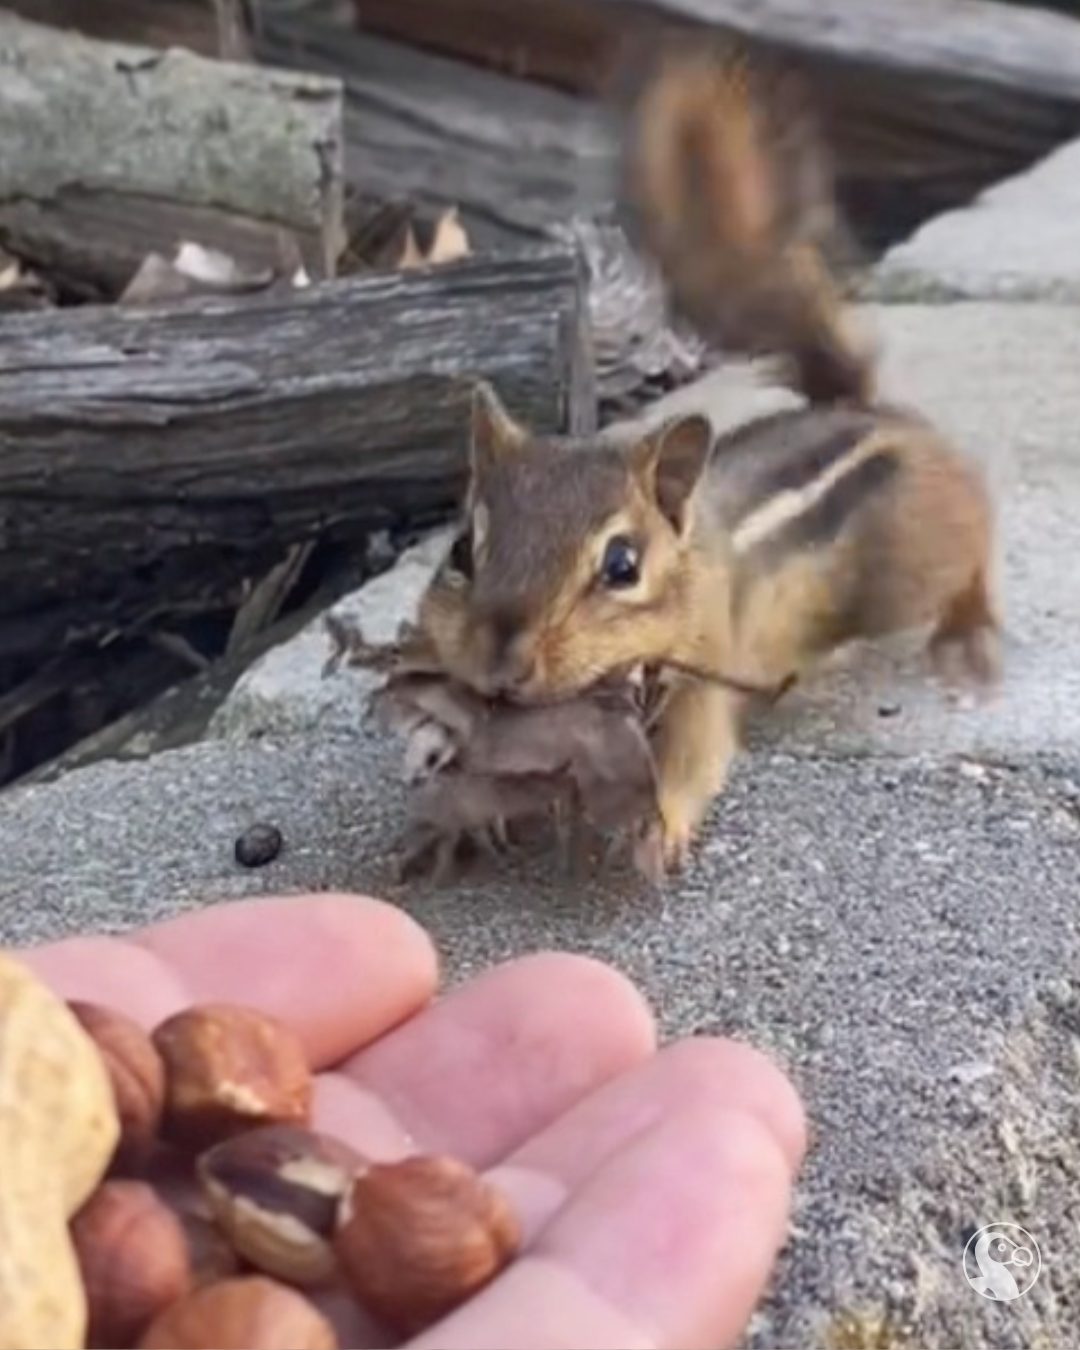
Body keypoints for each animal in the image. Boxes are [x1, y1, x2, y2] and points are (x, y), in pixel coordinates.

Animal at [414, 41, 1001, 878]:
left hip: (909, 569)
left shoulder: (706, 682)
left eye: (622, 566)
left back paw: (969, 637)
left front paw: (656, 831)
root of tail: (860, 408)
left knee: (975, 545)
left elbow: (694, 758)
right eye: (463, 551)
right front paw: (453, 824)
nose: (502, 662)